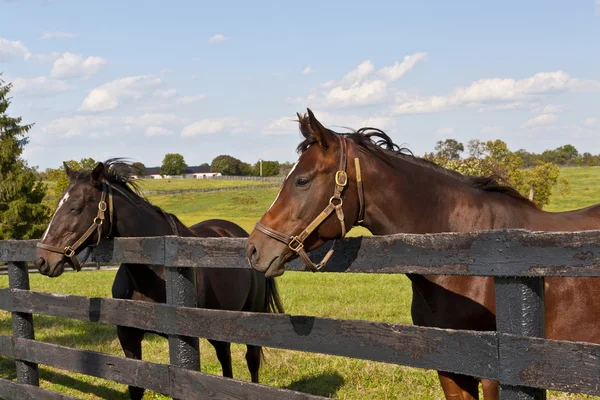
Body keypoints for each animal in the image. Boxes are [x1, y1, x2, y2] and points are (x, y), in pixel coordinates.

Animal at [35, 160, 284, 400]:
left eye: (75, 208)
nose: (42, 259)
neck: (155, 266)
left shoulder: (183, 339)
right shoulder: (128, 335)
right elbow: (135, 387)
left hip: (253, 315)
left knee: (252, 360)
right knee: (225, 359)